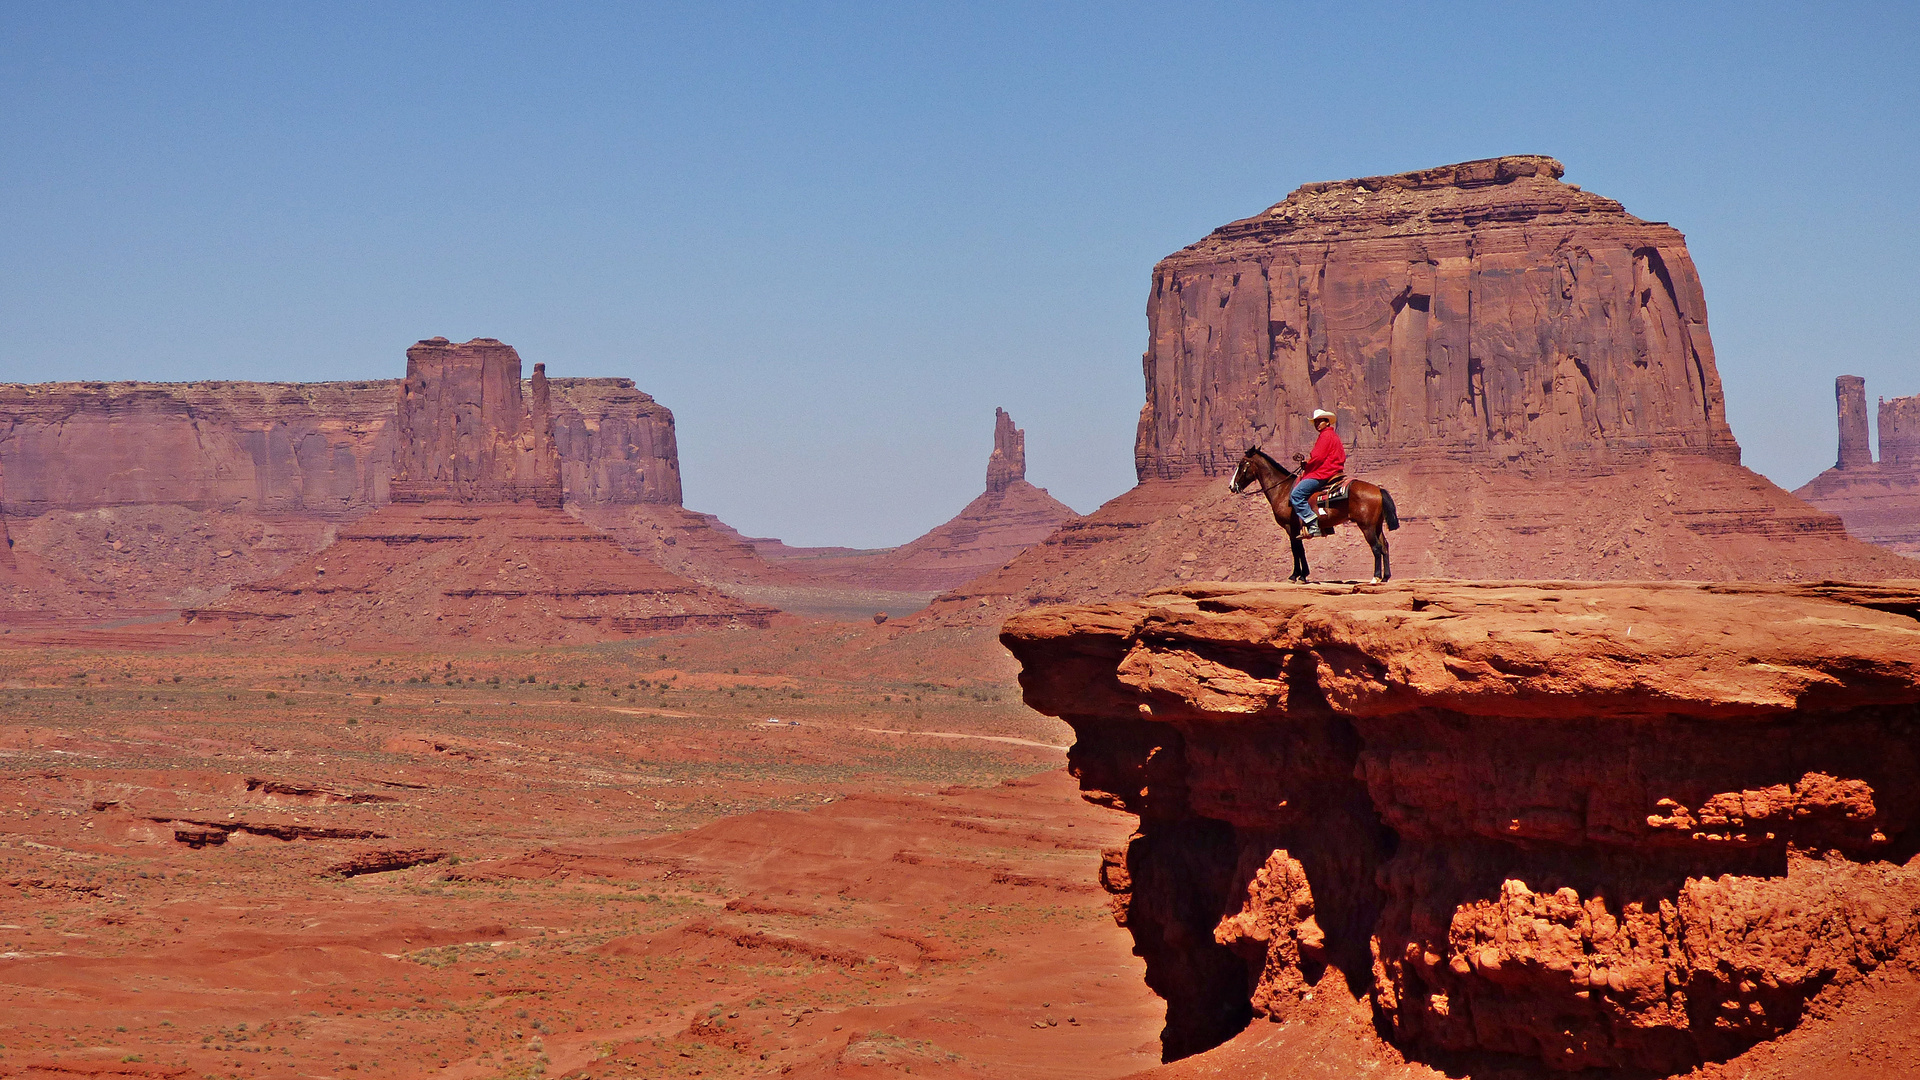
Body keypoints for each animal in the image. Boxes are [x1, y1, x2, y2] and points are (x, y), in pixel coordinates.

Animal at [1228, 445, 1397, 580]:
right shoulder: (1297, 528)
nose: (1231, 486)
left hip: (1367, 526)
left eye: (1241, 464)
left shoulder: (1290, 527)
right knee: (1385, 546)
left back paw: (1375, 577)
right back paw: (1385, 577)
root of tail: (1378, 490)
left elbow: (1296, 549)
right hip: (1377, 525)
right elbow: (1300, 549)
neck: (1282, 490)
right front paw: (1303, 575)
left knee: (1376, 548)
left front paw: (1296, 575)